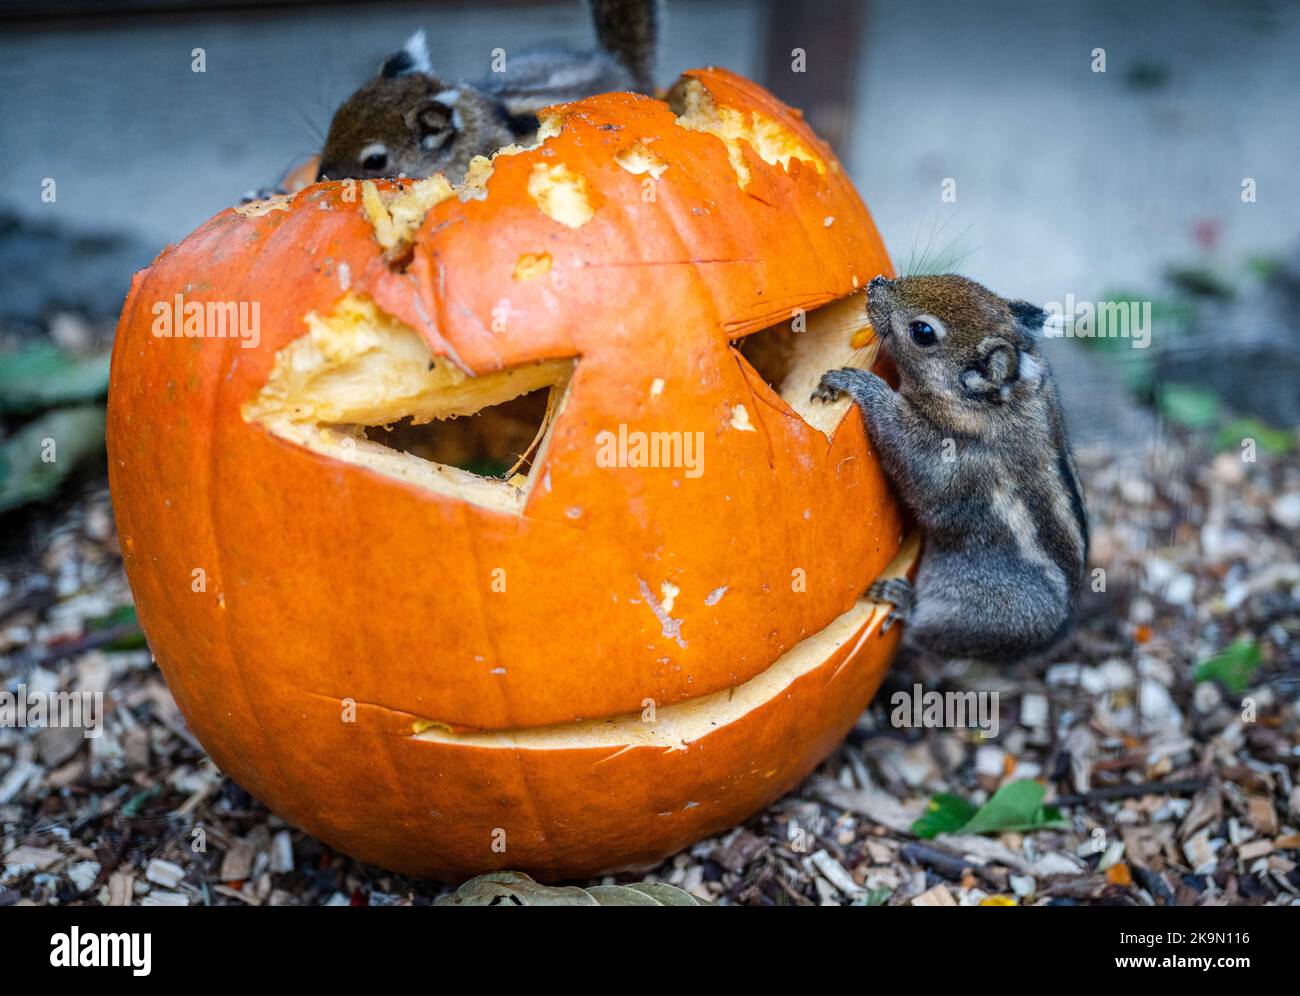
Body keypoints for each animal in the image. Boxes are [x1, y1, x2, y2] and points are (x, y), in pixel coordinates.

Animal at [811, 273, 1086, 665]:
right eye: (961, 280)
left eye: (923, 332)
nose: (876, 284)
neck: (1000, 402)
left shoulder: (942, 456)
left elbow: (904, 443)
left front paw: (860, 384)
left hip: (972, 611)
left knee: (929, 631)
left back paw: (905, 601)